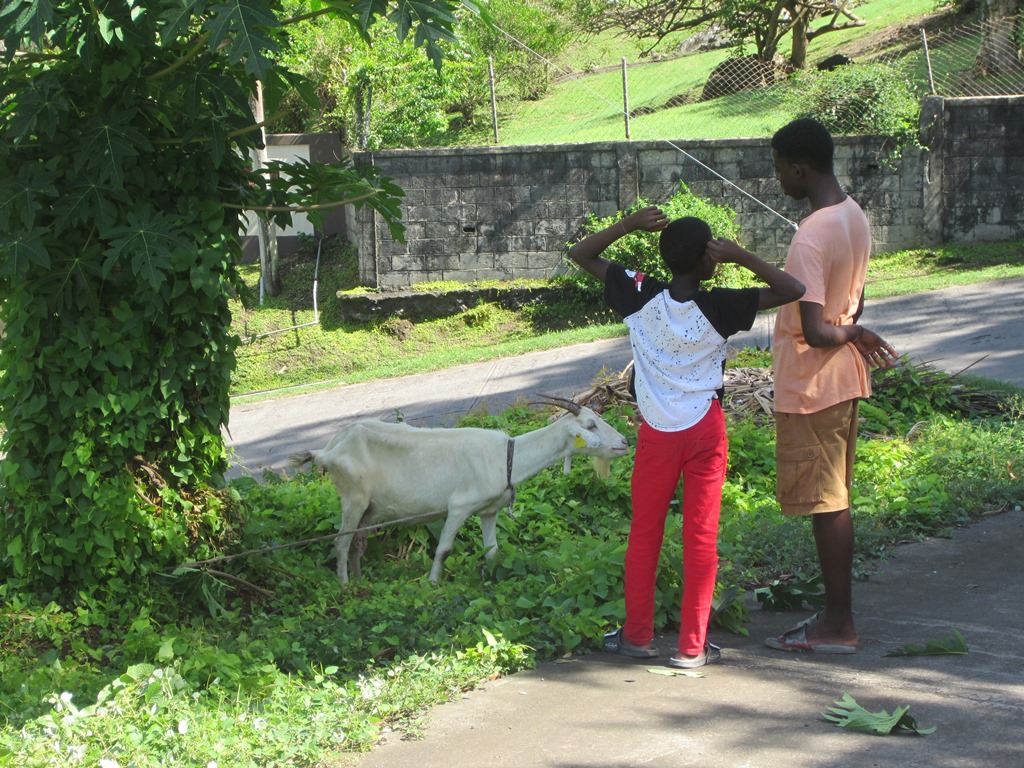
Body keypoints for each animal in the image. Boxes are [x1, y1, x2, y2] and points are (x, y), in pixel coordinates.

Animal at [286, 397, 622, 581]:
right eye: (590, 426)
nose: (623, 442)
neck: (507, 456)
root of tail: (329, 449)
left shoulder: (489, 511)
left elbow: (492, 551)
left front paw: (490, 578)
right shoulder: (460, 506)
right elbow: (444, 549)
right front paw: (433, 583)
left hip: (370, 508)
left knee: (357, 544)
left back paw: (359, 582)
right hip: (353, 498)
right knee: (341, 543)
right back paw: (345, 586)